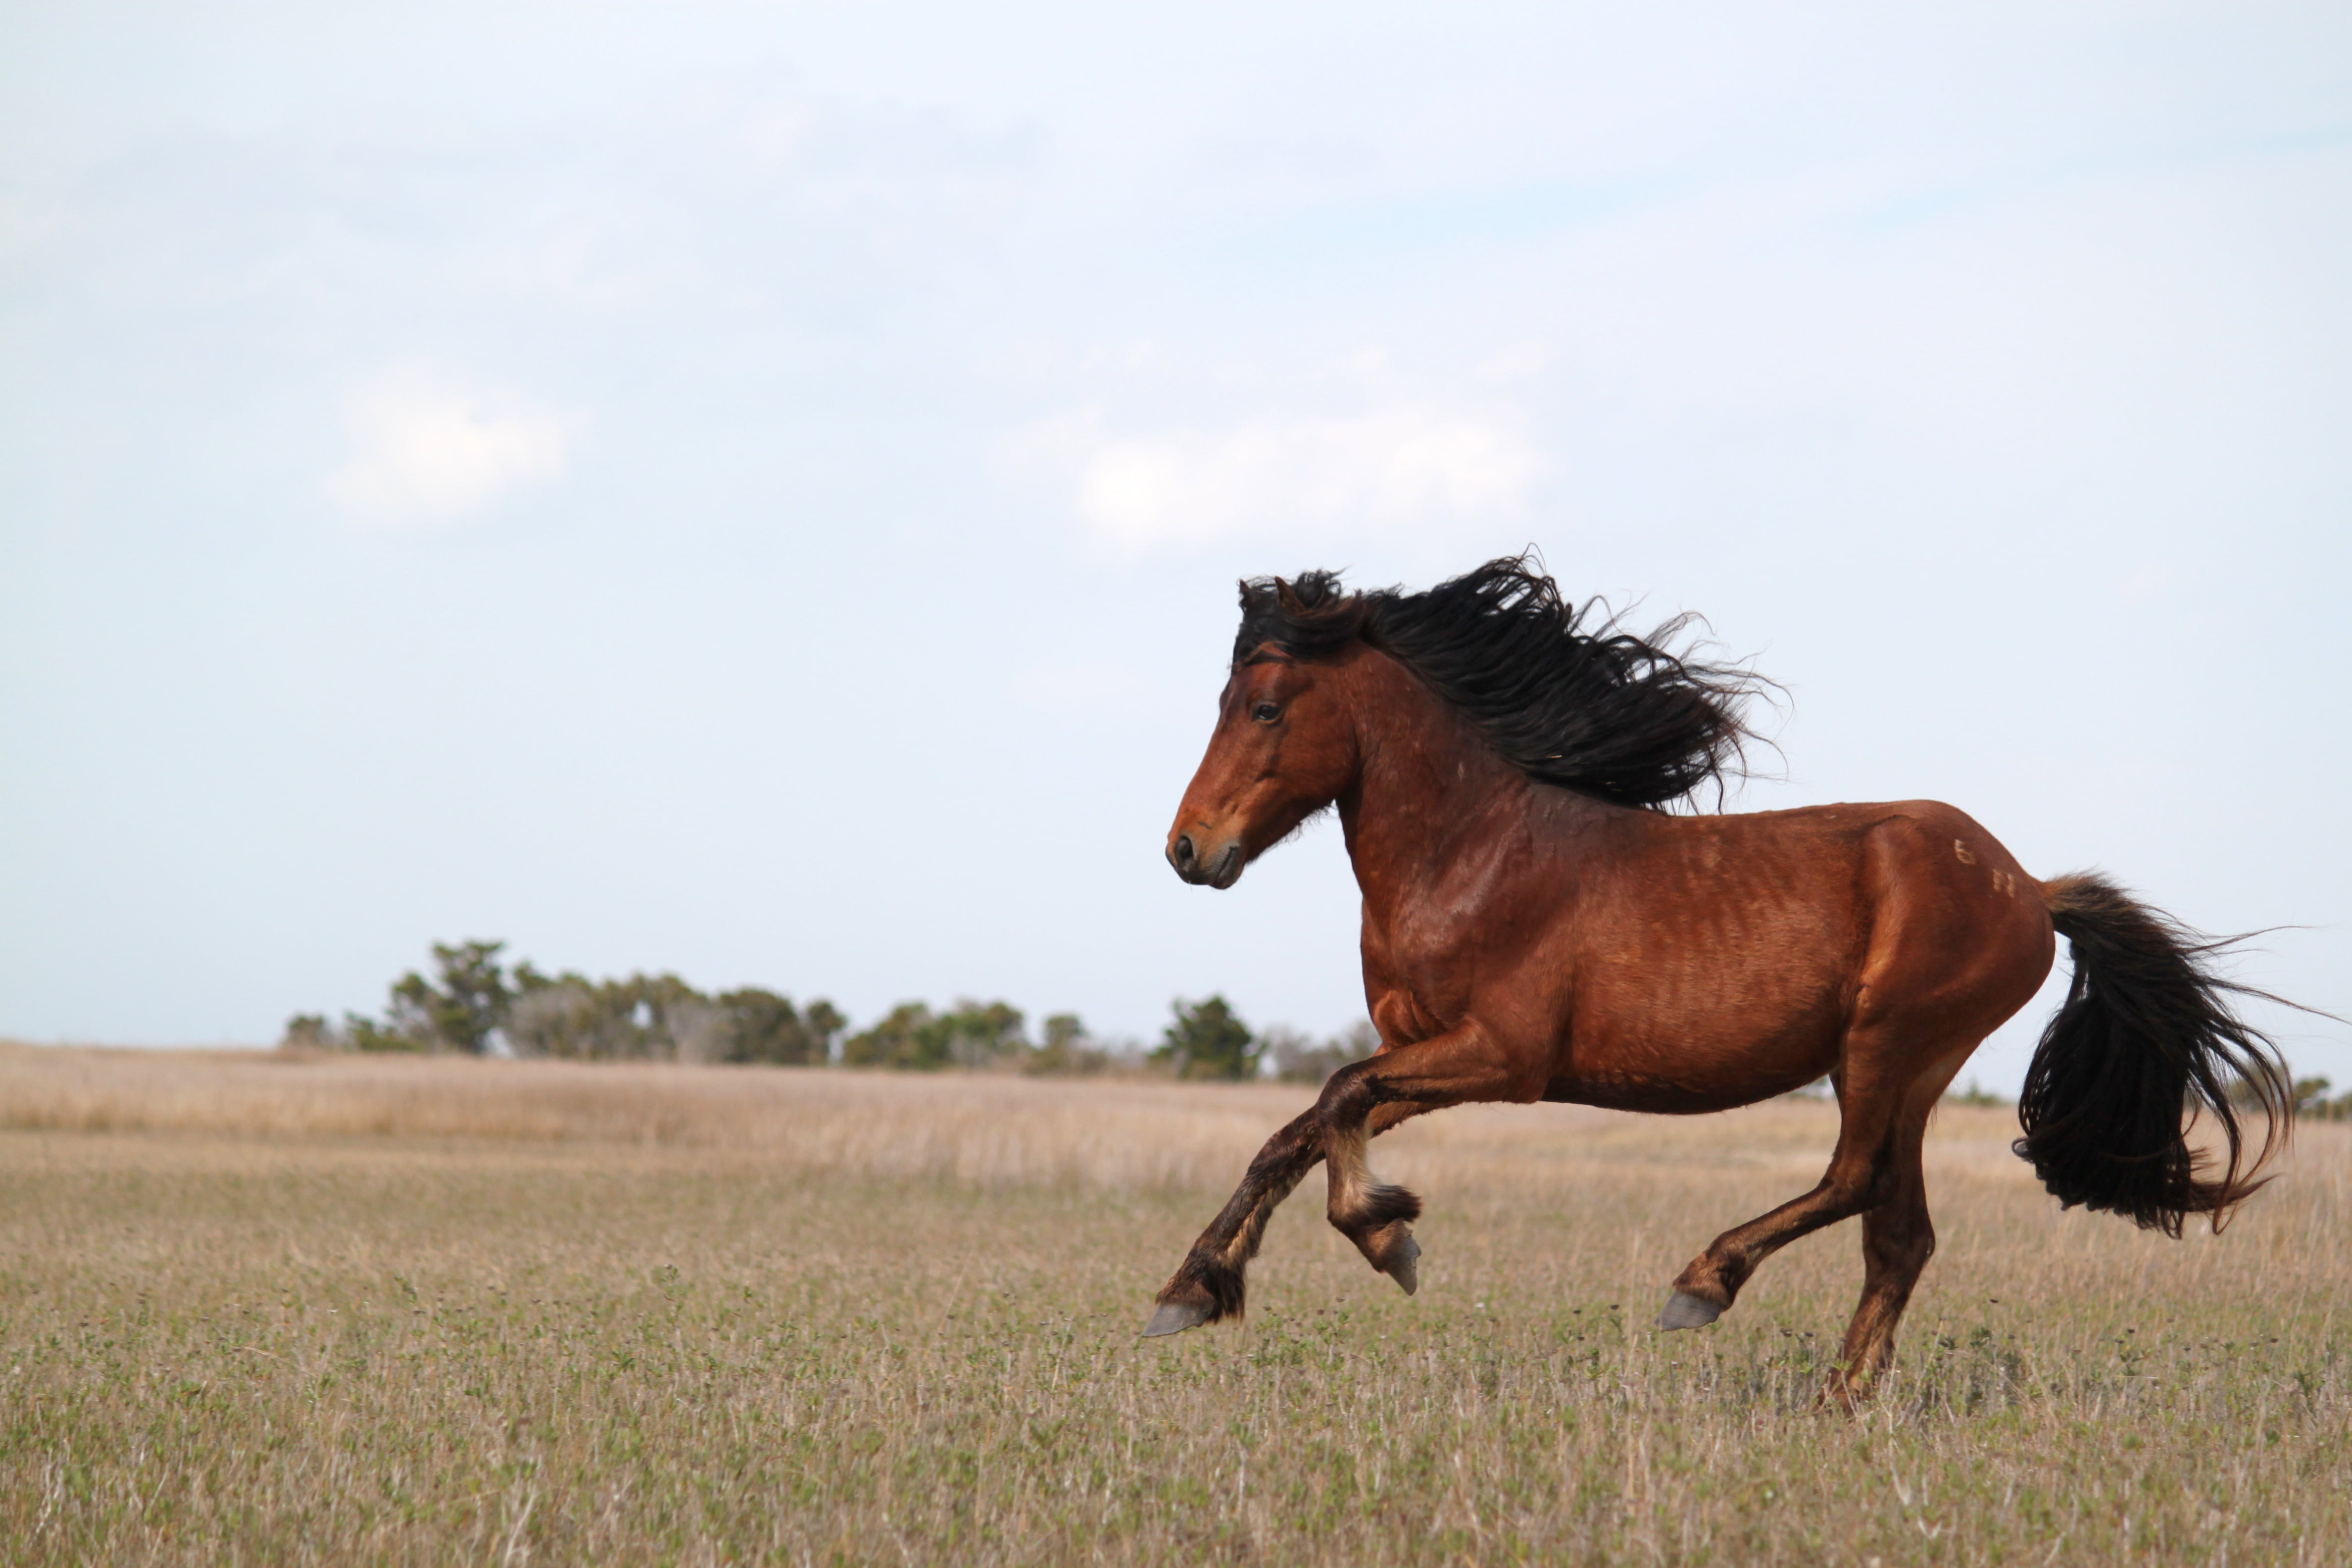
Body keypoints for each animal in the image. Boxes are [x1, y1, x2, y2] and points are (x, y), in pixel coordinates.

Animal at [1143, 554, 2294, 1404]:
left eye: (1264, 707)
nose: (1188, 850)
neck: (1474, 852)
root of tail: (2029, 887)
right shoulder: (1419, 1052)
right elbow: (1299, 1130)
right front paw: (1194, 1288)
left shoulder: (1501, 1058)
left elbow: (1335, 1099)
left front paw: (1388, 1236)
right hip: (1910, 1073)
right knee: (1899, 1236)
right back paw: (1836, 1404)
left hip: (1887, 1048)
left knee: (1856, 1186)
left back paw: (1704, 1287)